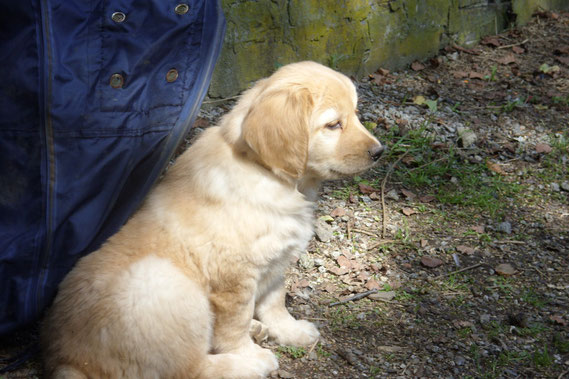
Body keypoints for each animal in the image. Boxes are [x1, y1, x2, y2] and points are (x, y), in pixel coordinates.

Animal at [42, 60, 384, 378]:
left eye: (355, 114)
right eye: (333, 124)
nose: (379, 152)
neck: (271, 177)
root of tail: (70, 361)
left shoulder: (276, 262)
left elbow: (275, 301)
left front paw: (290, 330)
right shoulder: (233, 277)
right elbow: (235, 324)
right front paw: (248, 351)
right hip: (170, 285)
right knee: (189, 368)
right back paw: (250, 363)